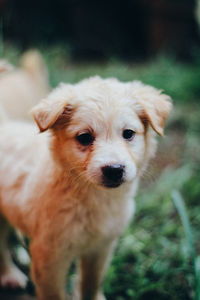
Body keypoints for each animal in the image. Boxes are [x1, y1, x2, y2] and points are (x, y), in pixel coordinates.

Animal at [0, 77, 172, 300]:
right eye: (84, 137)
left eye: (128, 134)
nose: (114, 170)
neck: (94, 197)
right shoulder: (50, 257)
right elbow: (54, 294)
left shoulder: (101, 248)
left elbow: (91, 284)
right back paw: (10, 275)